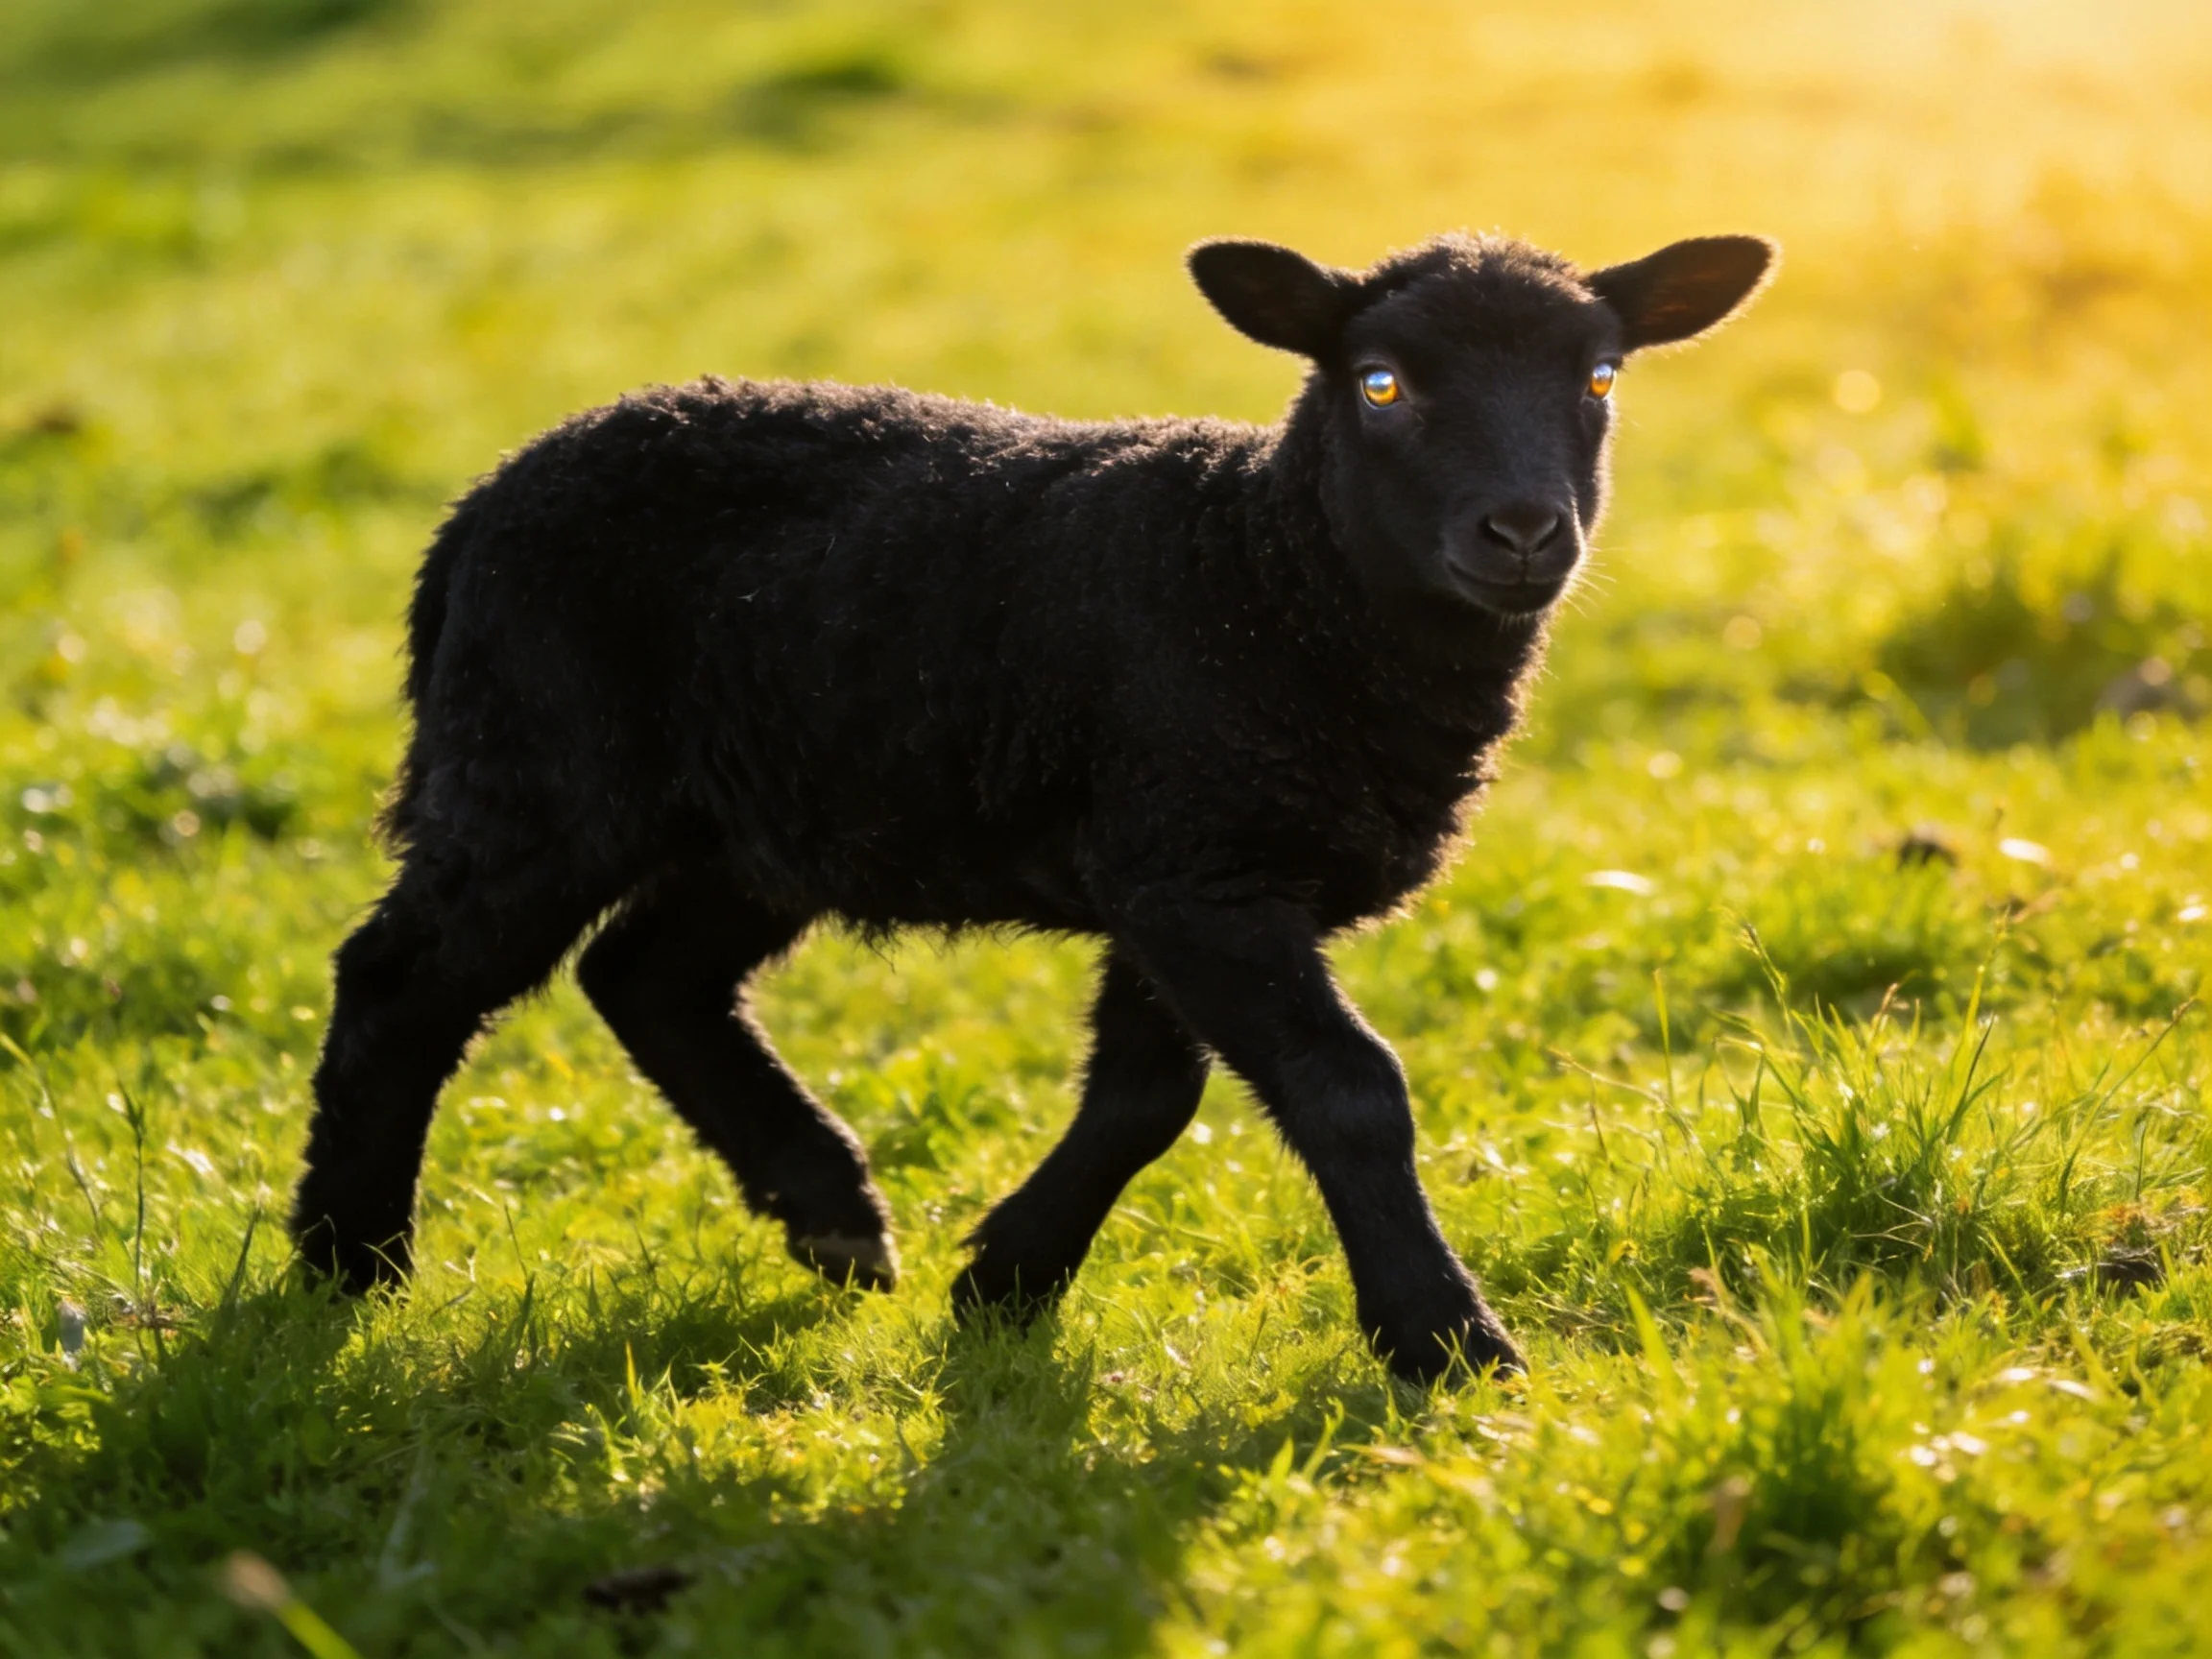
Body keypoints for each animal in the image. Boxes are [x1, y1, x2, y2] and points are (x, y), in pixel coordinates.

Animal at [291, 228, 1775, 1381]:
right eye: (1382, 382)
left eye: (1599, 376)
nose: (1523, 532)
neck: (1271, 572)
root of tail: (473, 514)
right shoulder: (1199, 867)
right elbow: (1349, 1088)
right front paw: (1448, 1342)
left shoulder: (1167, 865)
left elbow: (1144, 1099)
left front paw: (1004, 1281)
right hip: (536, 772)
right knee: (402, 980)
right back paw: (346, 1263)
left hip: (767, 816)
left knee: (648, 975)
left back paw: (832, 1216)